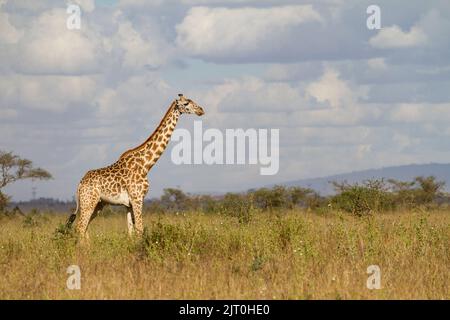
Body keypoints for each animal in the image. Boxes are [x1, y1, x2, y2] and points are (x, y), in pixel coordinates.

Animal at [66, 94, 205, 239]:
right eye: (186, 103)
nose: (201, 110)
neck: (146, 165)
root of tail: (80, 183)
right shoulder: (137, 199)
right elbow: (140, 230)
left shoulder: (128, 204)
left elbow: (131, 232)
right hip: (88, 202)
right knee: (80, 227)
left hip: (98, 204)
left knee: (84, 228)